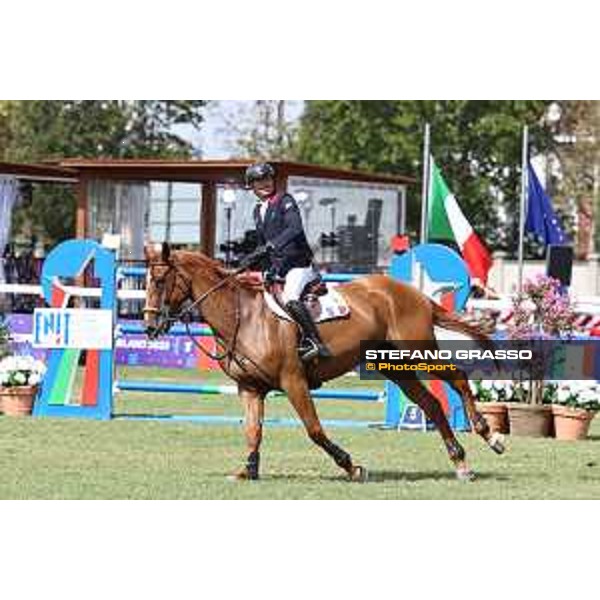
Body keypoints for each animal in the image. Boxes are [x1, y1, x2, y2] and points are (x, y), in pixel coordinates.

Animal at [143, 241, 504, 480]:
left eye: (160, 281)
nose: (149, 326)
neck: (241, 316)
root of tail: (412, 293)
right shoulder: (250, 388)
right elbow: (252, 431)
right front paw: (248, 470)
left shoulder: (293, 381)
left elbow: (314, 429)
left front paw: (352, 466)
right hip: (394, 365)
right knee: (430, 403)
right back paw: (460, 462)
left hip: (419, 352)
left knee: (456, 378)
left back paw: (489, 434)